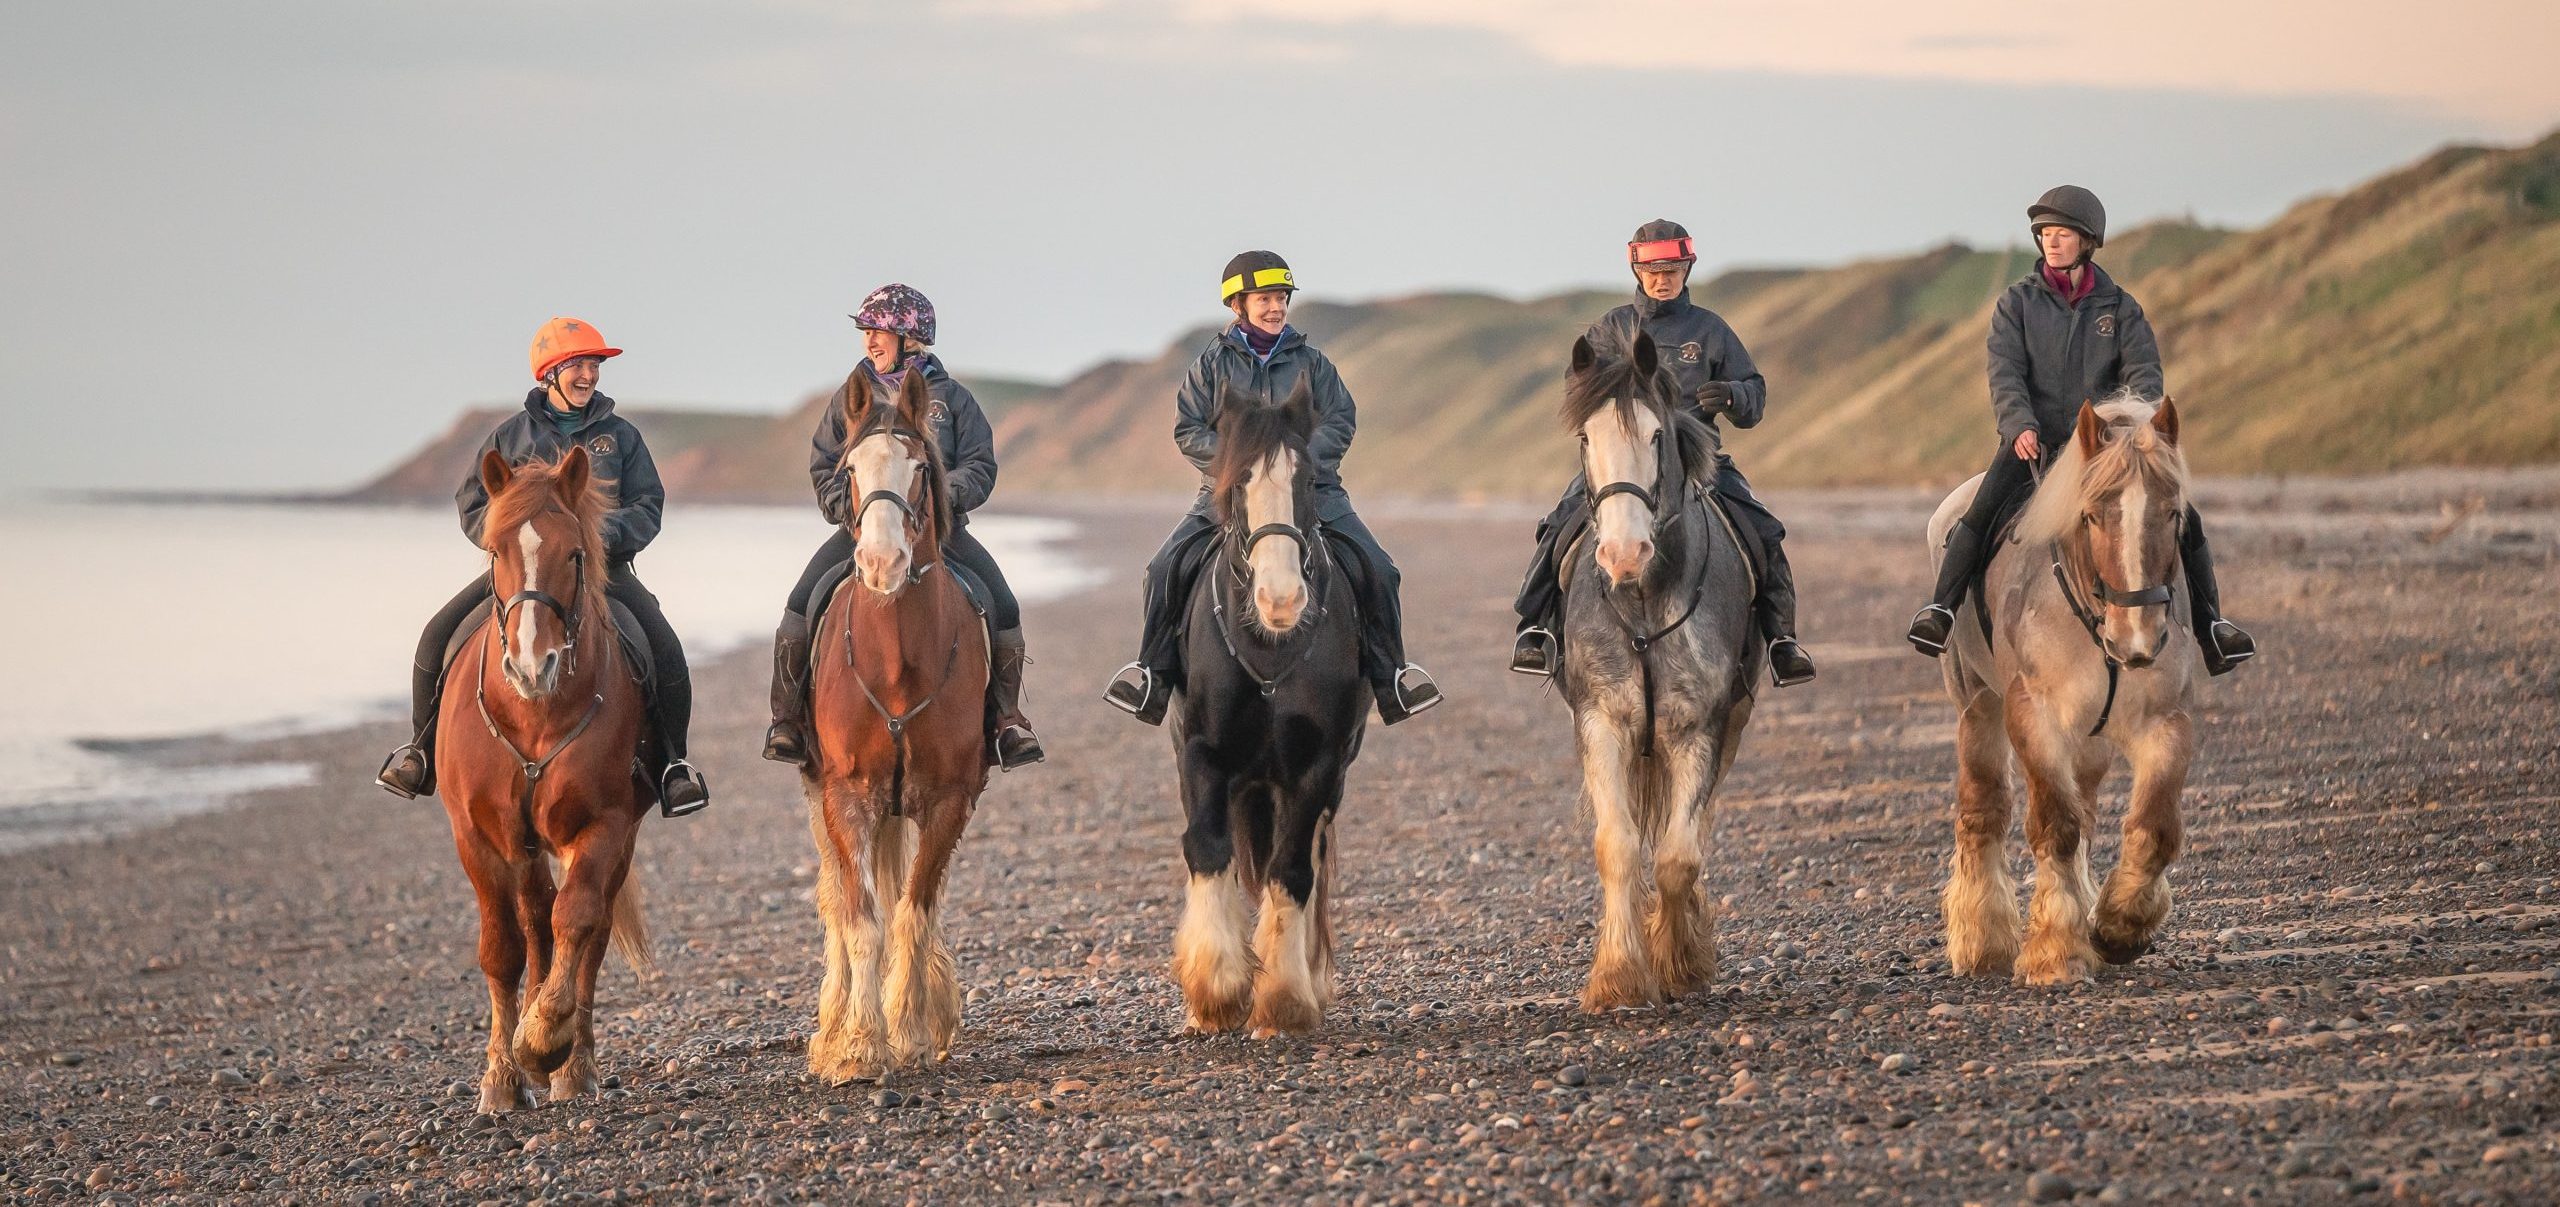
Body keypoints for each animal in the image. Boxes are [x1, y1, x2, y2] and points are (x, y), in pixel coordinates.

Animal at [437, 445, 656, 1114]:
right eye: (494, 551)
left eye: (576, 554)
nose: (533, 667)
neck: (535, 714)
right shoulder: (478, 835)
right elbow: (503, 948)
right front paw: (501, 1077)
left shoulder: (604, 825)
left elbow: (576, 922)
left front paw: (542, 1041)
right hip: (524, 845)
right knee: (534, 920)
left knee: (586, 932)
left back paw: (572, 1065)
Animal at [803, 366, 991, 1083]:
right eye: (851, 469)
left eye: (919, 468)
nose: (882, 563)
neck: (896, 662)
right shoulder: (847, 796)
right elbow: (860, 919)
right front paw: (857, 1045)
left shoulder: (947, 799)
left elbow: (913, 910)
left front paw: (908, 1029)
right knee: (836, 899)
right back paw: (832, 1027)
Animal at [1167, 377, 1368, 1038]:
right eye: (1236, 486)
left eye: (1307, 483)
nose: (1280, 600)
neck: (1268, 649)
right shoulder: (1201, 754)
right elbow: (1209, 849)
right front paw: (1215, 991)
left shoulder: (1318, 764)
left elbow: (1292, 869)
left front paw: (1283, 997)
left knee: (1312, 860)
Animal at [1555, 331, 1762, 1013]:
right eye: (1586, 436)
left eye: (1655, 435)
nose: (1624, 554)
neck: (1643, 601)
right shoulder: (1601, 721)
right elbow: (1617, 846)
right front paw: (1619, 975)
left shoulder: (1696, 729)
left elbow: (1678, 855)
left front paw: (1679, 962)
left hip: (1731, 727)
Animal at [1927, 394, 2200, 986]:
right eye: (2092, 515)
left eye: (2173, 514)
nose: (2137, 638)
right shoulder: (2034, 716)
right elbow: (2054, 824)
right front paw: (2056, 950)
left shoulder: (2164, 721)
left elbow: (2153, 827)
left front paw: (2118, 928)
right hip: (1976, 706)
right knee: (1984, 806)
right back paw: (1983, 942)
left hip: (2090, 739)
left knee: (2087, 809)